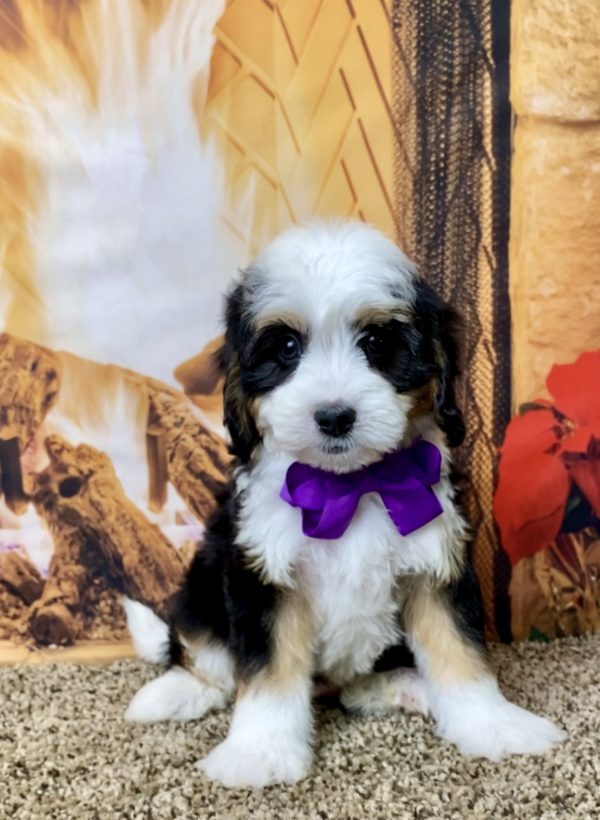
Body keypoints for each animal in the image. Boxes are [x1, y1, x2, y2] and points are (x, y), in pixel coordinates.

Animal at [124, 219, 564, 788]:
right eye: (288, 347)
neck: (349, 485)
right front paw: (259, 754)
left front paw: (495, 727)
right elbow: (266, 672)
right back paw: (173, 692)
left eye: (376, 342)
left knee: (354, 688)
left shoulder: (436, 560)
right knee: (203, 653)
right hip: (201, 584)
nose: (335, 417)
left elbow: (459, 648)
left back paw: (404, 686)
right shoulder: (260, 572)